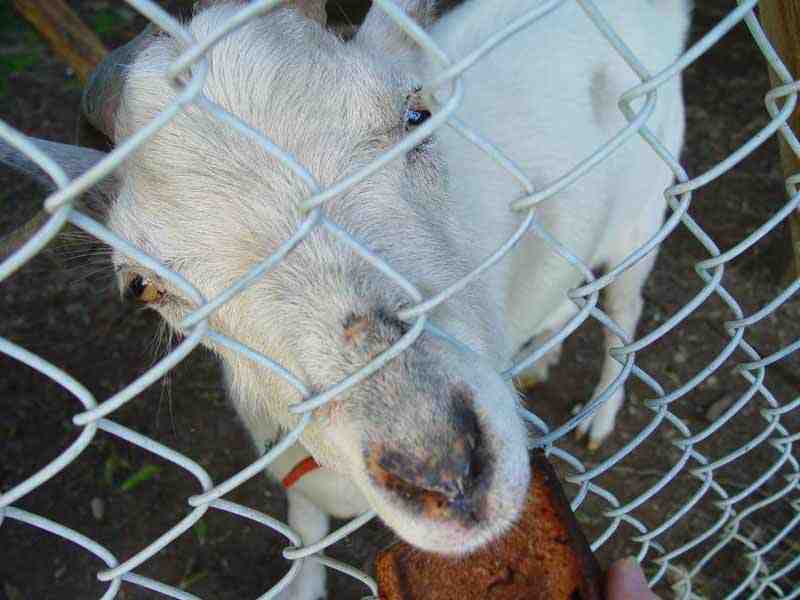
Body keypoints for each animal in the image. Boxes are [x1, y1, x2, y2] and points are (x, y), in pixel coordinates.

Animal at [1, 0, 689, 598]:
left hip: (642, 215)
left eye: (416, 117)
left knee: (623, 311)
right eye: (143, 286)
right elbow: (304, 539)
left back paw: (600, 412)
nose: (443, 472)